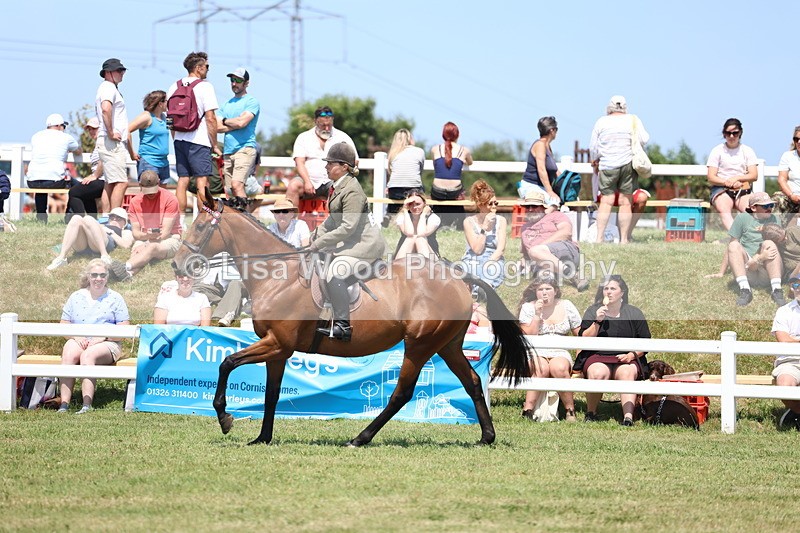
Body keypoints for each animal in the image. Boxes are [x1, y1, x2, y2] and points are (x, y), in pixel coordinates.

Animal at [173, 191, 531, 447]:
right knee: (471, 382)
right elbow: (271, 392)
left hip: (419, 344)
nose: (177, 265)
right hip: (448, 344)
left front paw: (224, 418)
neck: (277, 274)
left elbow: (227, 363)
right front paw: (262, 438)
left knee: (402, 393)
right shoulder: (278, 350)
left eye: (201, 226)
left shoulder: (277, 343)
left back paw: (360, 438)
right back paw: (486, 437)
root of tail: (458, 278)